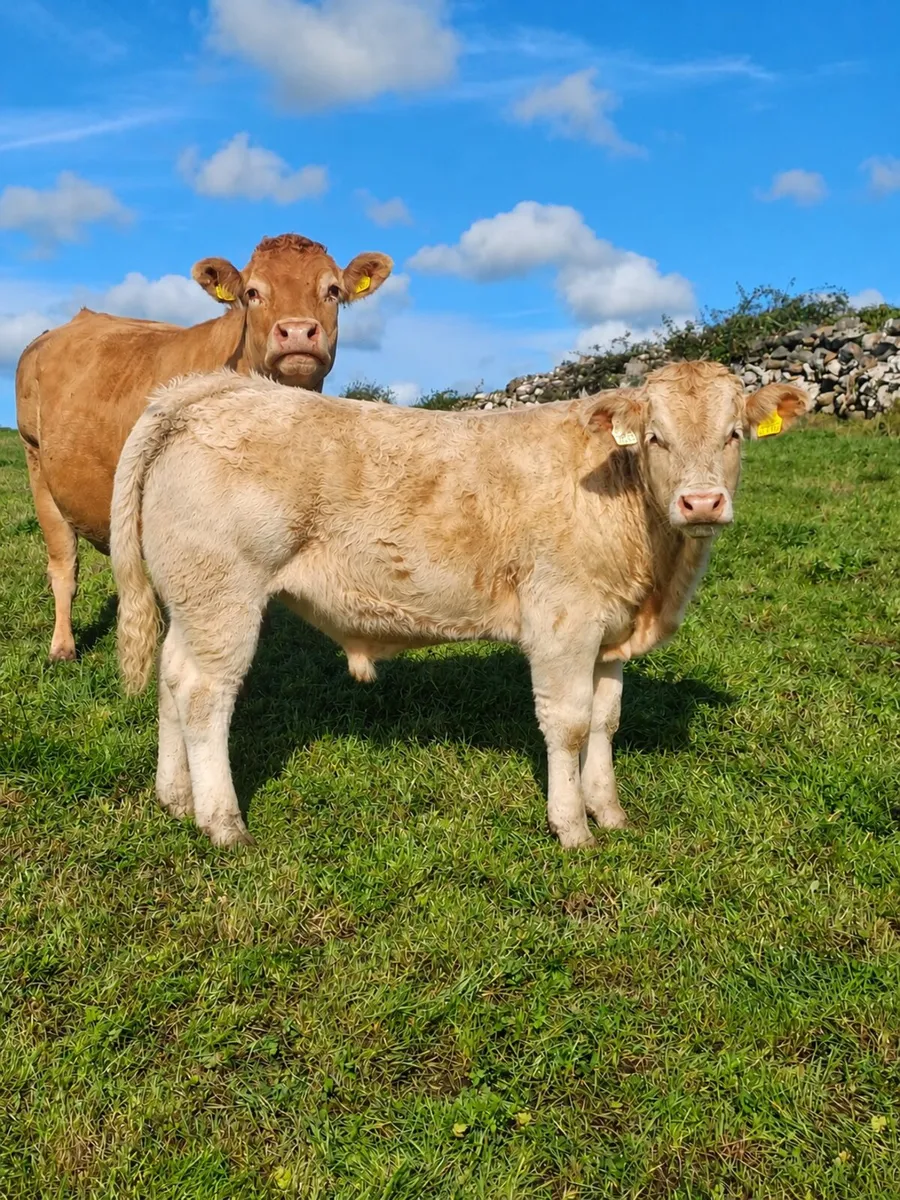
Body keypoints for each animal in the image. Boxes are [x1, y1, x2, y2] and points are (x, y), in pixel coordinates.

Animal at [15, 232, 393, 662]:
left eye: (331, 291)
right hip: (36, 463)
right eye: (252, 293)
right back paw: (62, 646)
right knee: (64, 565)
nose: (297, 332)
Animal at [110, 362, 808, 850]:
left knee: (172, 678)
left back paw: (175, 798)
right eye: (655, 438)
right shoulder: (563, 621)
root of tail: (212, 391)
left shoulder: (611, 631)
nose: (701, 503)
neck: (654, 575)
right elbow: (569, 723)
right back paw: (222, 823)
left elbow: (606, 722)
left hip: (192, 600)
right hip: (225, 593)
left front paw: (609, 812)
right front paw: (572, 827)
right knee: (206, 695)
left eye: (735, 435)